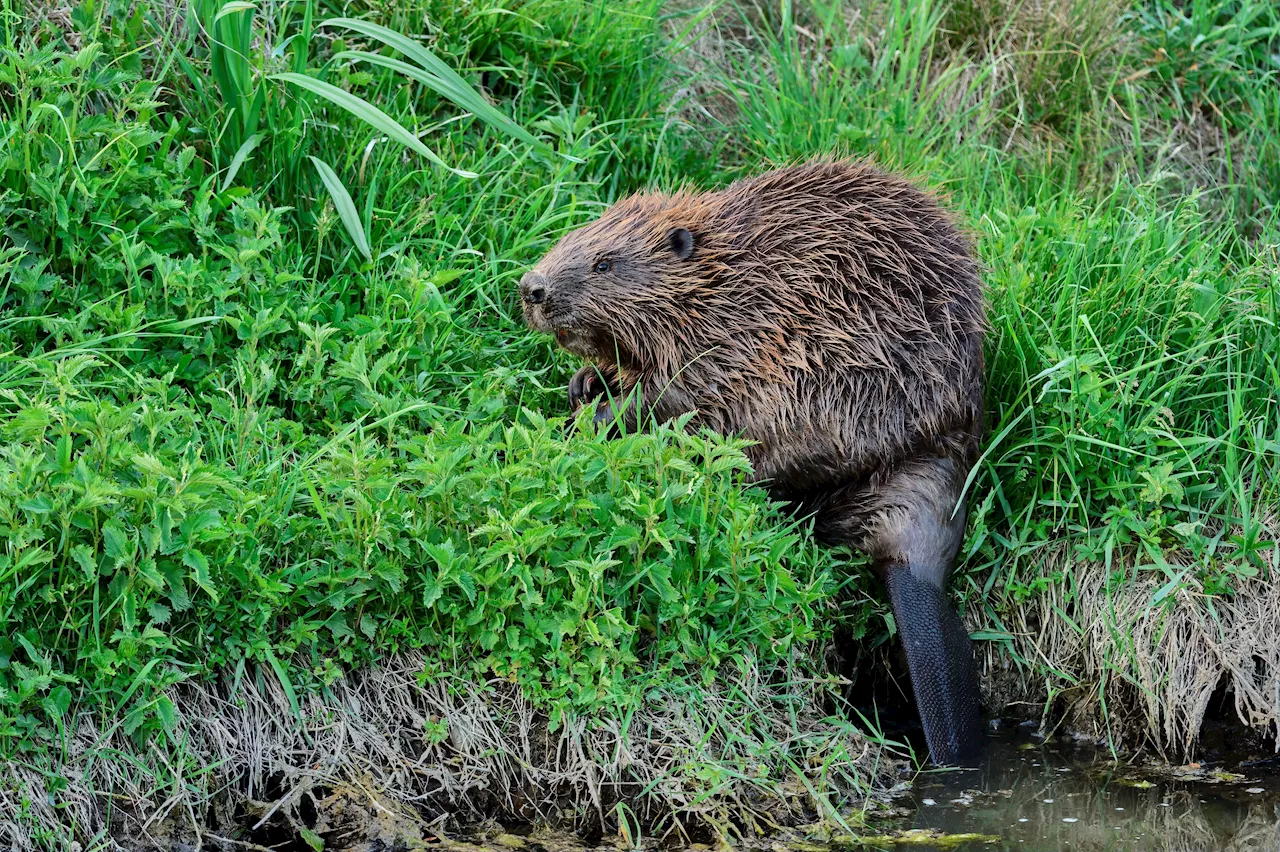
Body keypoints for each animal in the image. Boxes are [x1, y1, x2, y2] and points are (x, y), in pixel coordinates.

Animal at [514, 157, 983, 762]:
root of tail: (914, 560)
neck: (727, 282)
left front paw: (597, 413)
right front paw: (586, 382)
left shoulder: (745, 338)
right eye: (571, 239)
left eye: (605, 262)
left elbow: (678, 393)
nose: (532, 288)